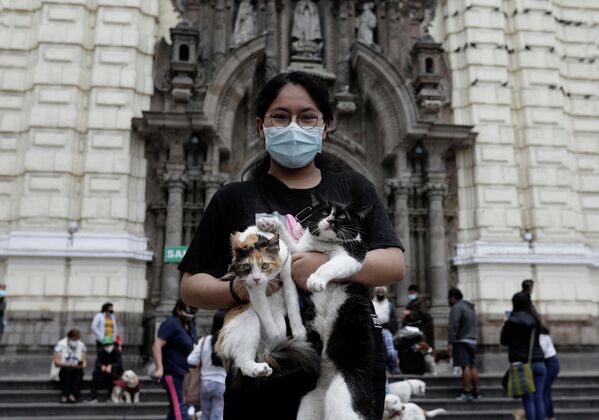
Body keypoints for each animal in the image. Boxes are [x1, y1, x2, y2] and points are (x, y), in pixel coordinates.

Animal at [217, 228, 318, 378]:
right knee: (243, 362)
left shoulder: (287, 275)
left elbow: (292, 303)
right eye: (246, 266)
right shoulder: (254, 290)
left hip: (279, 320)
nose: (257, 278)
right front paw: (276, 339)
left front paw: (299, 332)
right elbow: (266, 317)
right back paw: (258, 368)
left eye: (265, 265)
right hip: (248, 318)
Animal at [258, 194, 380, 420]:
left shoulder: (352, 257)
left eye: (343, 216)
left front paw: (316, 279)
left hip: (342, 398)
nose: (330, 220)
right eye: (323, 212)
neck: (325, 245)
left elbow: (329, 265)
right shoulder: (299, 252)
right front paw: (270, 224)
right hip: (309, 405)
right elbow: (291, 243)